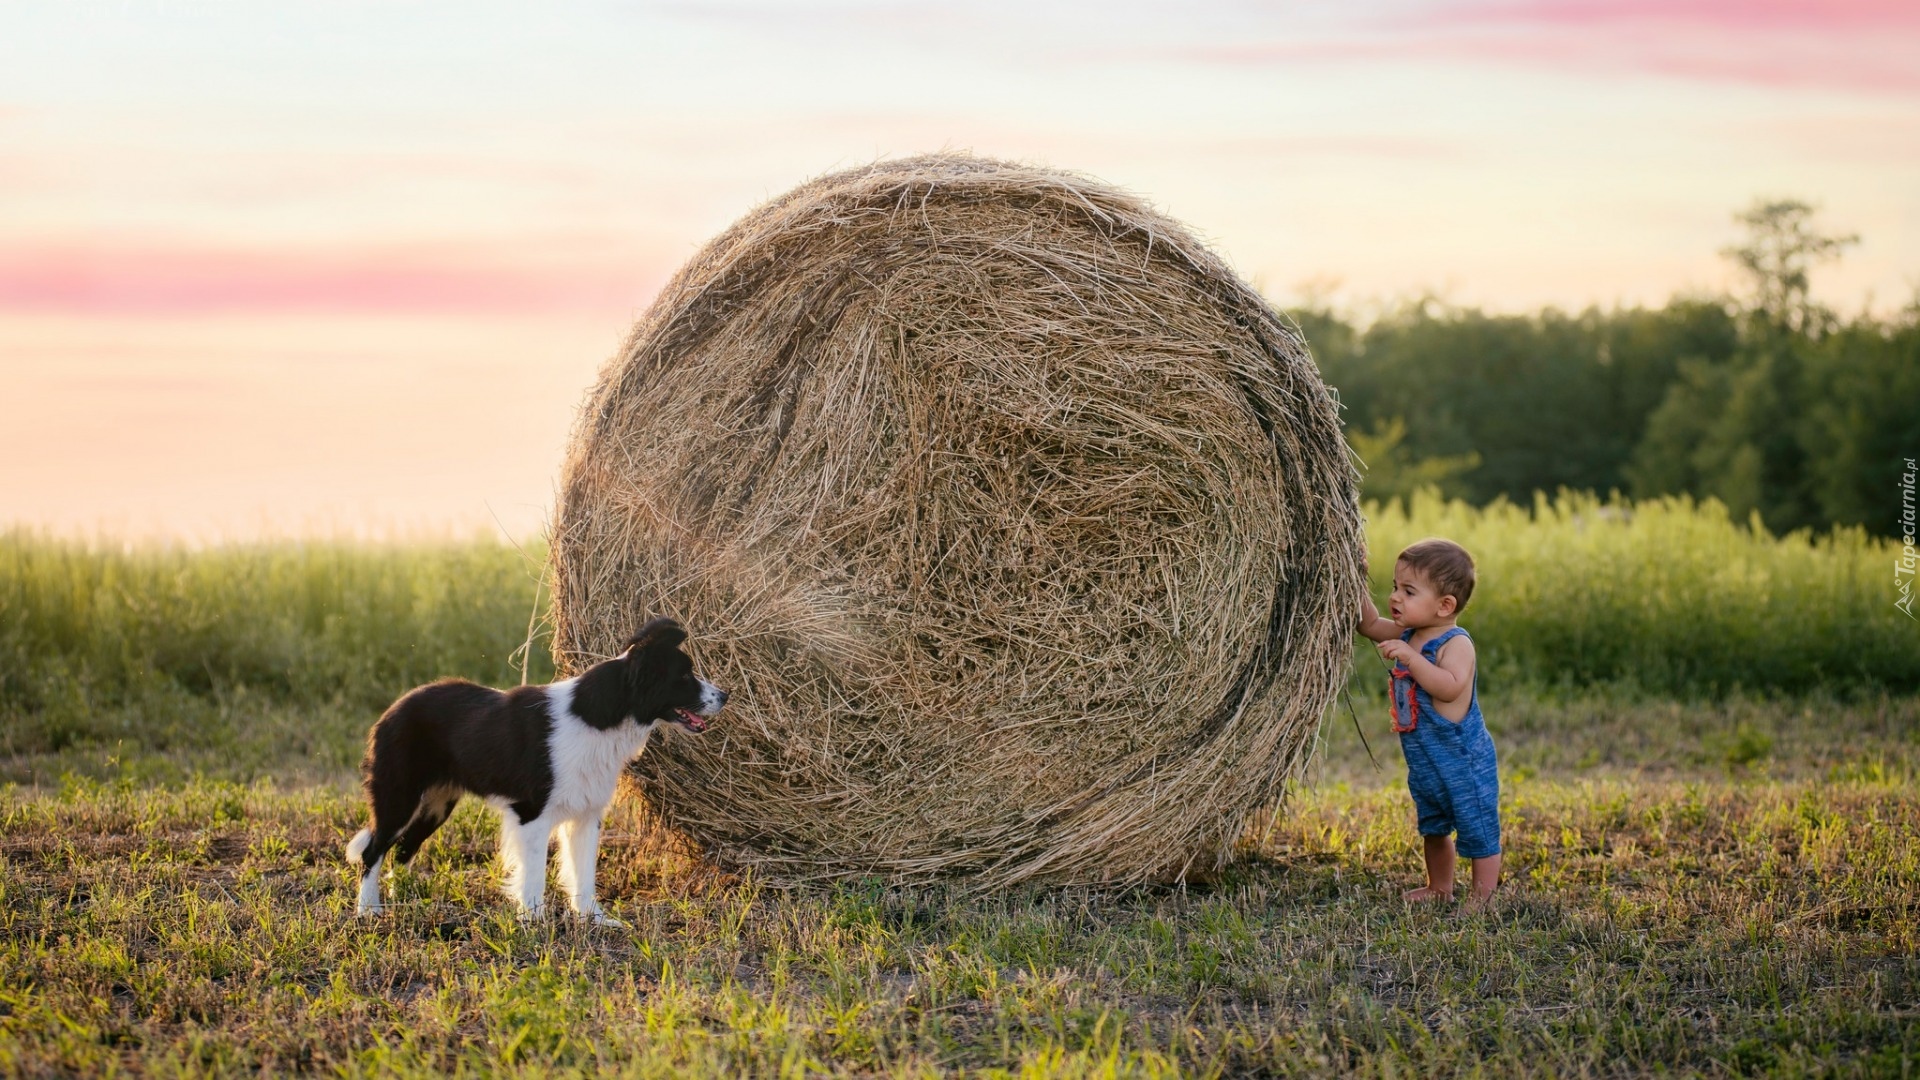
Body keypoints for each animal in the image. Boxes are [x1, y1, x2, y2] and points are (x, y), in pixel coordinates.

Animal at [347, 614, 725, 914]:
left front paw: (594, 921)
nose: (725, 695)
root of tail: (394, 708)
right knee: (374, 851)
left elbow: (584, 876)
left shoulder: (586, 816)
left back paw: (403, 897)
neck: (600, 715)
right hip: (399, 797)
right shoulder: (531, 813)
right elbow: (533, 879)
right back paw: (369, 910)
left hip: (437, 804)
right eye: (685, 677)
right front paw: (534, 923)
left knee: (402, 851)